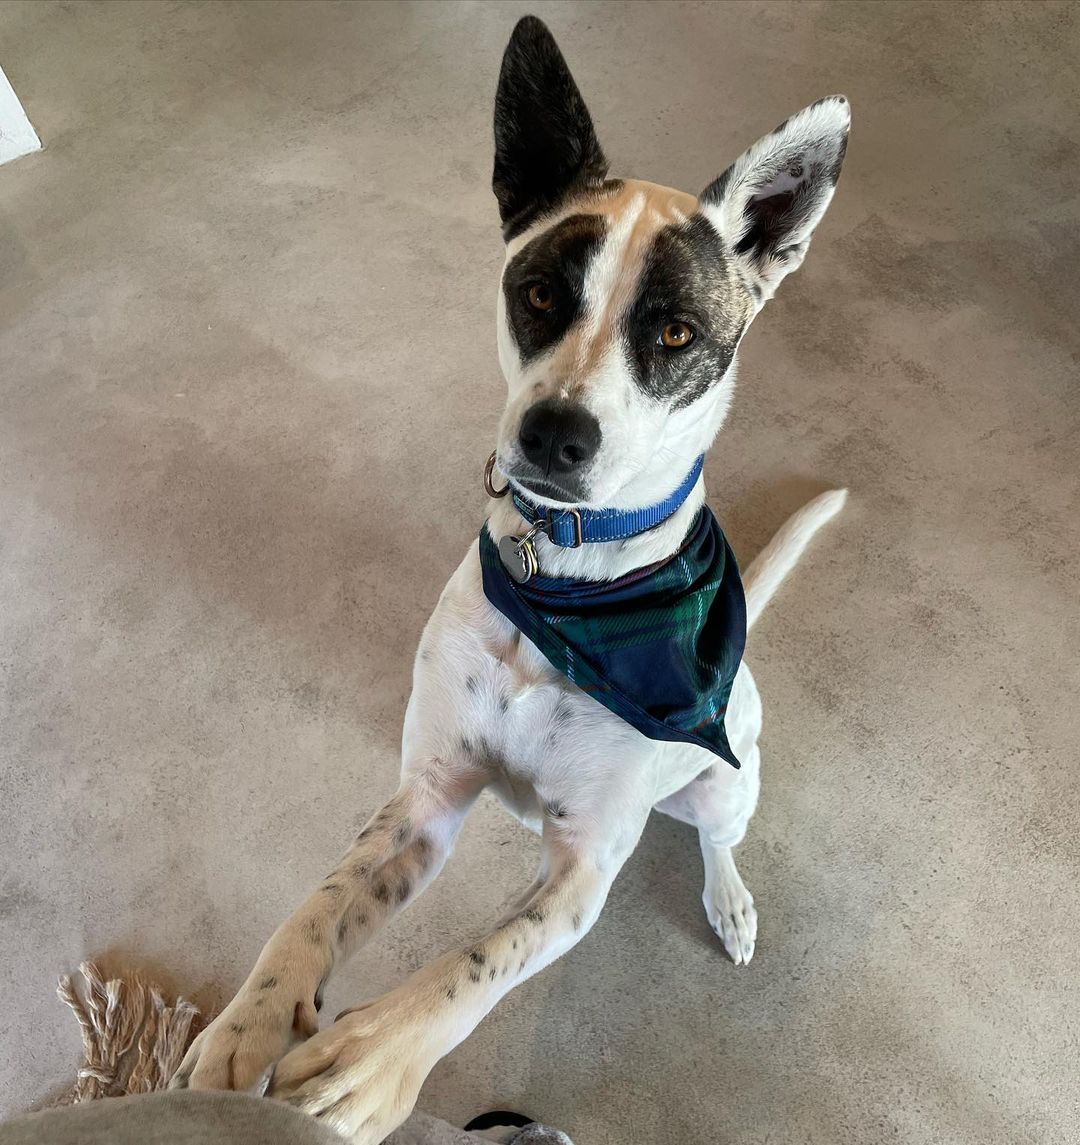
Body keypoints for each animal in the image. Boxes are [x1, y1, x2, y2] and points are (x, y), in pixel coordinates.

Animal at [170, 13, 852, 1140]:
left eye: (675, 331)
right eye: (539, 293)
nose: (554, 434)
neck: (572, 586)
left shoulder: (578, 876)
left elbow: (477, 961)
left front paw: (369, 1063)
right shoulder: (426, 798)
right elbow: (320, 903)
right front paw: (249, 1020)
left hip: (724, 778)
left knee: (720, 836)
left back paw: (730, 899)